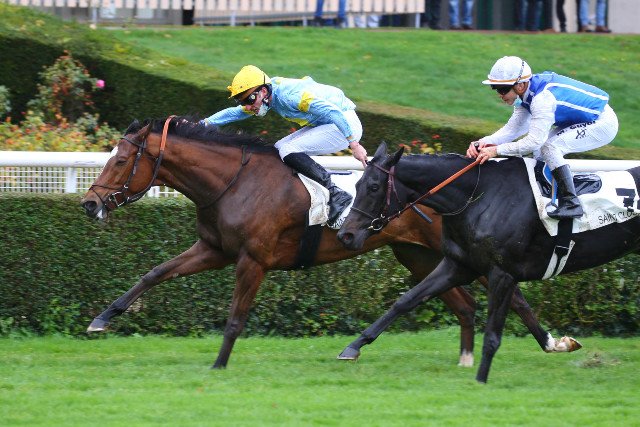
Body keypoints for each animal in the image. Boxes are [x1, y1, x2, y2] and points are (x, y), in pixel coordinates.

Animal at [80, 116, 578, 369]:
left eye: (120, 160)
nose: (89, 203)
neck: (234, 182)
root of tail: (469, 183)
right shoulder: (214, 250)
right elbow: (154, 272)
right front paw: (103, 318)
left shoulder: (252, 260)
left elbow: (237, 317)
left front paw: (220, 364)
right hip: (419, 255)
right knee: (465, 304)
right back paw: (467, 356)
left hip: (451, 252)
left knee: (511, 298)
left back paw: (553, 343)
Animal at [337, 142, 640, 383]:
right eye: (357, 185)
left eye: (374, 187)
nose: (345, 235)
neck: (478, 195)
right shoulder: (458, 265)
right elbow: (405, 301)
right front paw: (353, 347)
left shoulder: (502, 274)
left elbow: (493, 335)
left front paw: (481, 380)